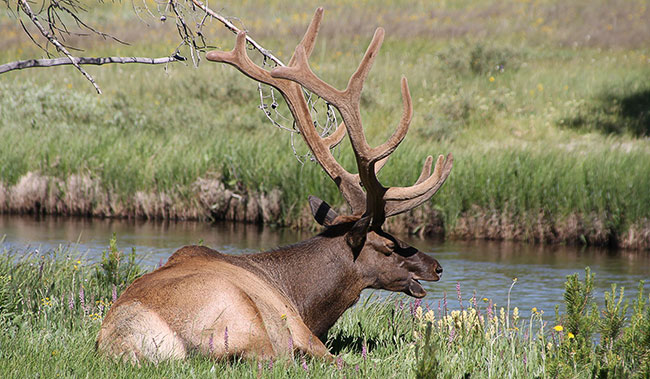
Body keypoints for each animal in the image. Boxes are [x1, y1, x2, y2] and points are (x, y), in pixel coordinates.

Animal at [96, 8, 450, 366]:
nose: (436, 267)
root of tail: (133, 341)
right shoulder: (303, 331)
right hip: (250, 324)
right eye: (388, 245)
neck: (304, 299)